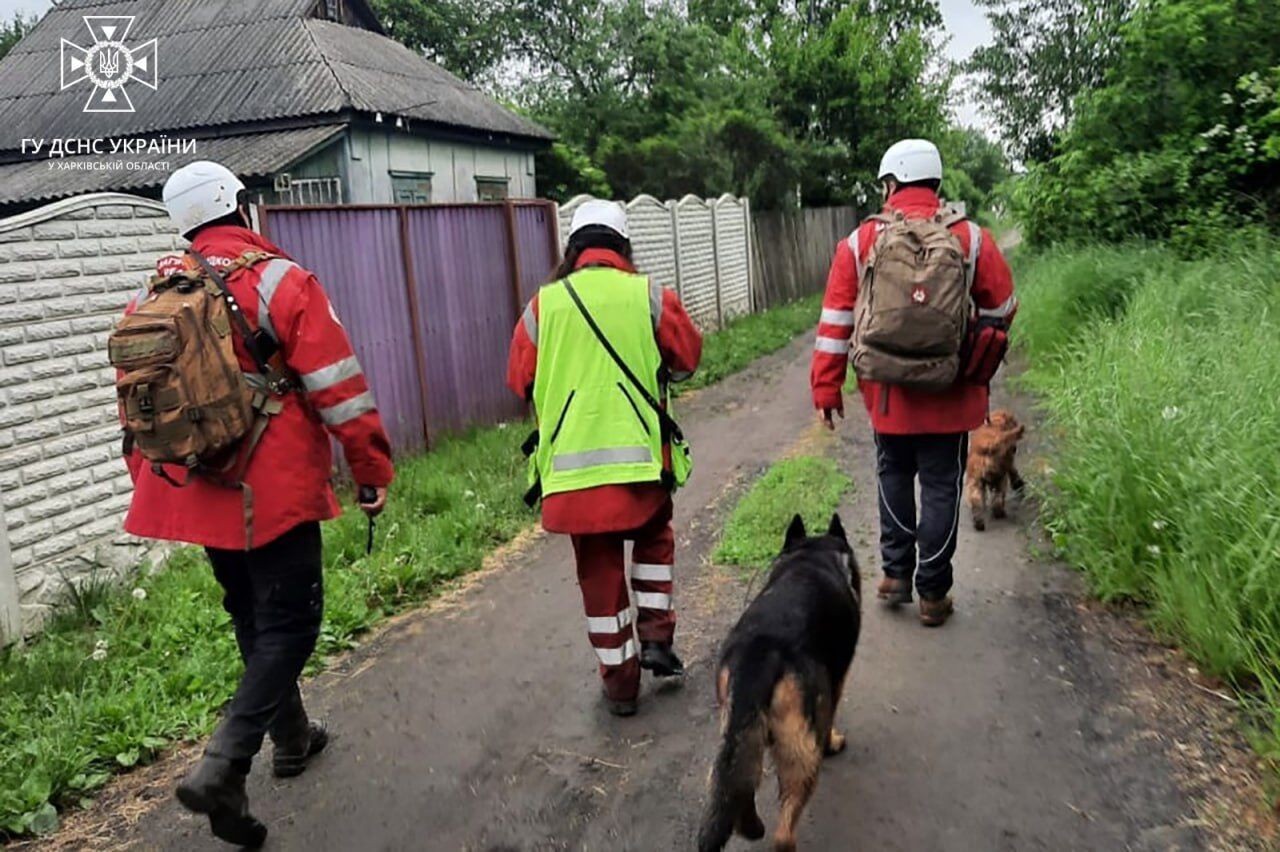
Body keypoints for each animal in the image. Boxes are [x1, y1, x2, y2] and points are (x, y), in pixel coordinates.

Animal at [696, 511, 865, 849]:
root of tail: (760, 654)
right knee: (784, 832)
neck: (812, 555)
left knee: (739, 784)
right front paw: (834, 742)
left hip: (737, 736)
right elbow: (831, 720)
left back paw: (751, 827)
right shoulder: (836, 684)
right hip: (801, 754)